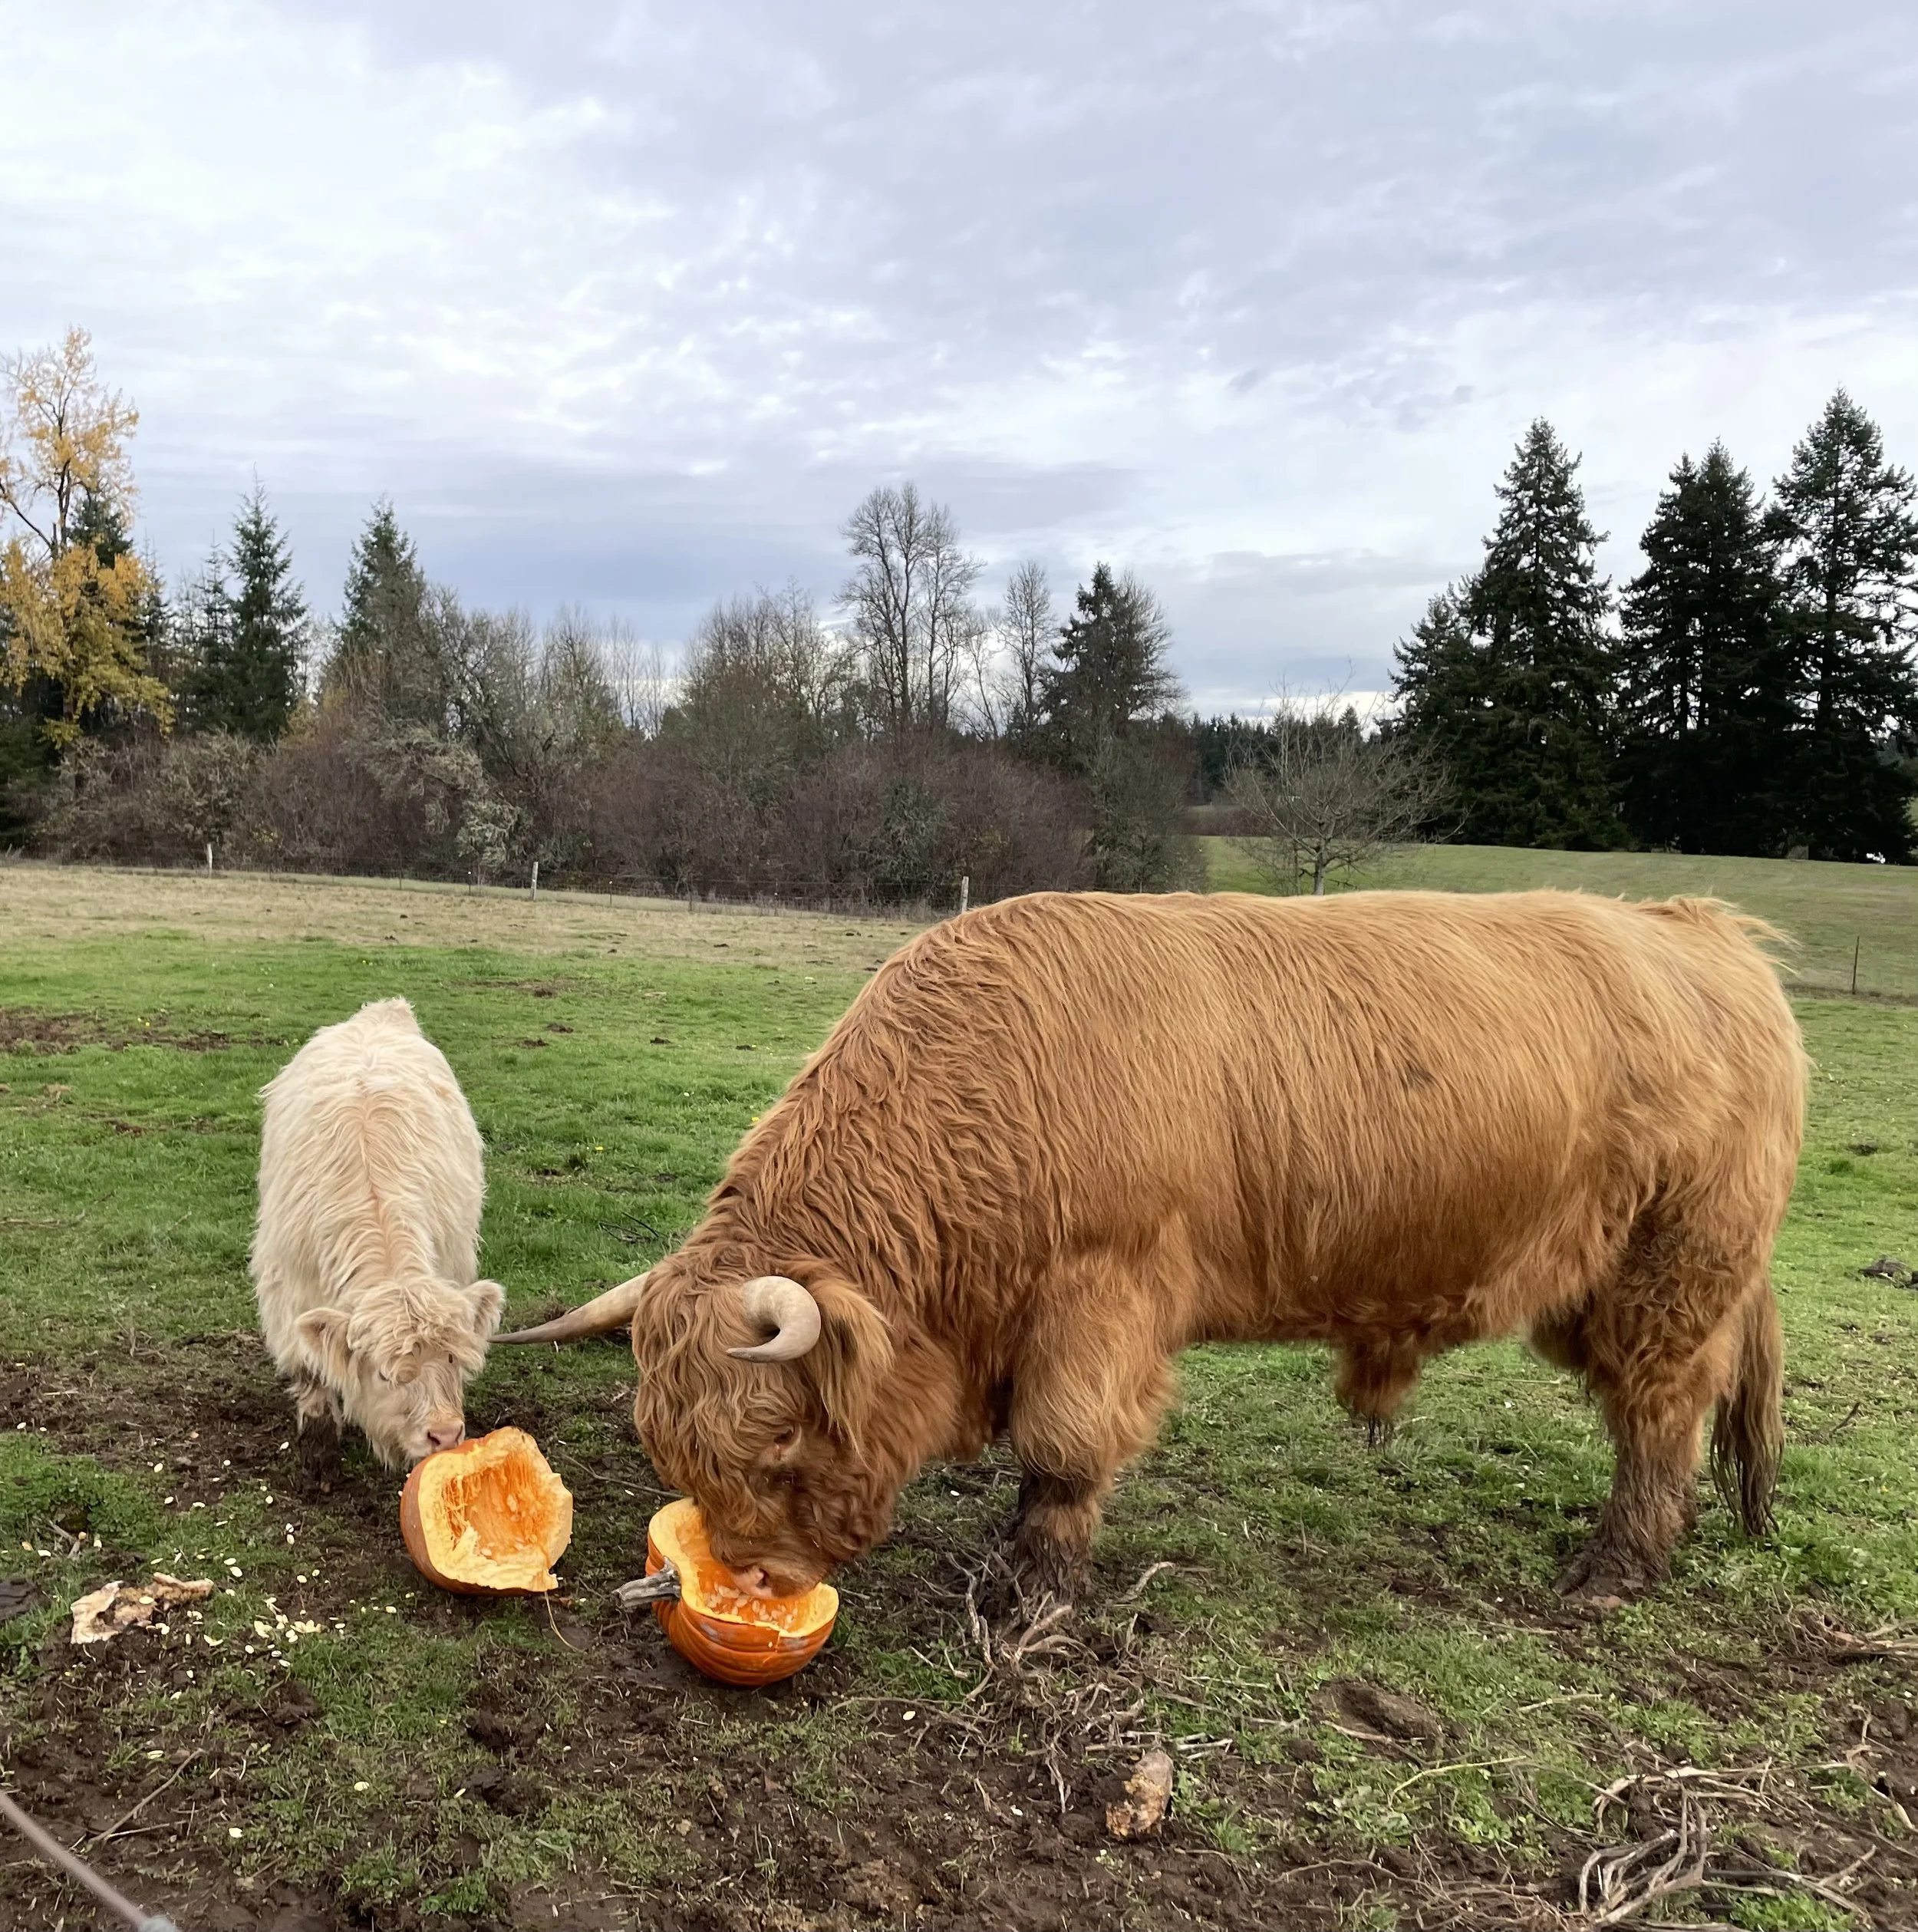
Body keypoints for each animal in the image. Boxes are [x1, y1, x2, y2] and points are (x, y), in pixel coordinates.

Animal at [252, 997, 504, 1468]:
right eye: (387, 1375)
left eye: (452, 1358)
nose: (444, 1434)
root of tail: (380, 1013)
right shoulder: (289, 1290)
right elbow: (308, 1364)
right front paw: (319, 1436)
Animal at [501, 890, 1804, 1609]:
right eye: (675, 1451)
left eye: (778, 1444)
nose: (754, 1578)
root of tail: (1708, 933)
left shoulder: (1105, 1292)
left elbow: (1065, 1445)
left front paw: (1032, 1590)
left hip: (1674, 1267)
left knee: (1662, 1412)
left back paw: (1614, 1569)